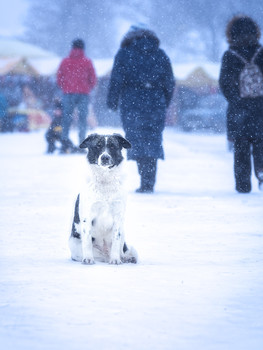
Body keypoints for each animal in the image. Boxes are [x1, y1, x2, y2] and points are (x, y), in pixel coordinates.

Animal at [69, 133, 138, 264]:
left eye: (112, 146)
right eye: (98, 146)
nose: (105, 157)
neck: (105, 182)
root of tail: (105, 254)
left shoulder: (118, 216)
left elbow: (116, 240)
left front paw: (115, 260)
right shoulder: (87, 216)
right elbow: (87, 241)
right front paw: (88, 259)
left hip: (123, 232)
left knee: (121, 251)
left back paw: (126, 258)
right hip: (75, 245)